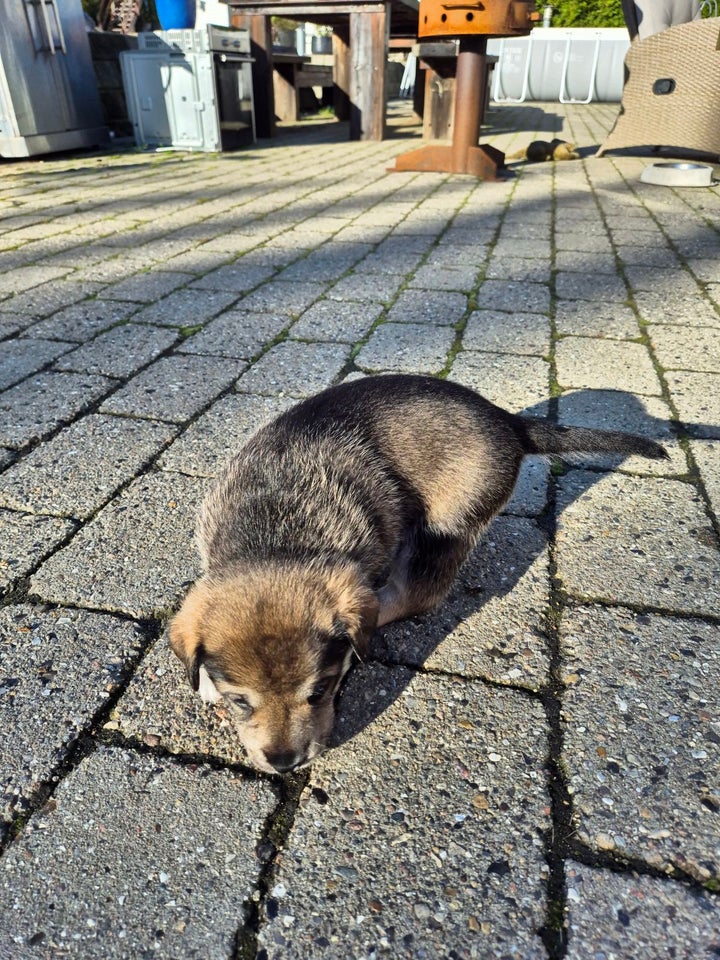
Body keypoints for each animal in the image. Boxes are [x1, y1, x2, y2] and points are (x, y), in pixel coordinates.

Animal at [170, 372, 668, 776]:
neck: (275, 539)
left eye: (320, 691)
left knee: (416, 593)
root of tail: (507, 420)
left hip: (444, 527)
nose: (285, 763)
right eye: (240, 701)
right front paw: (207, 685)